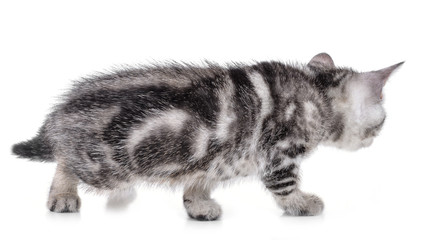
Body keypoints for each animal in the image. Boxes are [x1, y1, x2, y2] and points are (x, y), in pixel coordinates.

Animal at [12, 53, 402, 220]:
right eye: (382, 121)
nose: (375, 138)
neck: (315, 93)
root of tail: (63, 110)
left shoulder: (217, 157)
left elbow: (200, 180)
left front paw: (198, 205)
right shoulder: (278, 153)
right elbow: (285, 185)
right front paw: (301, 205)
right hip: (105, 166)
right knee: (64, 159)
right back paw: (63, 195)